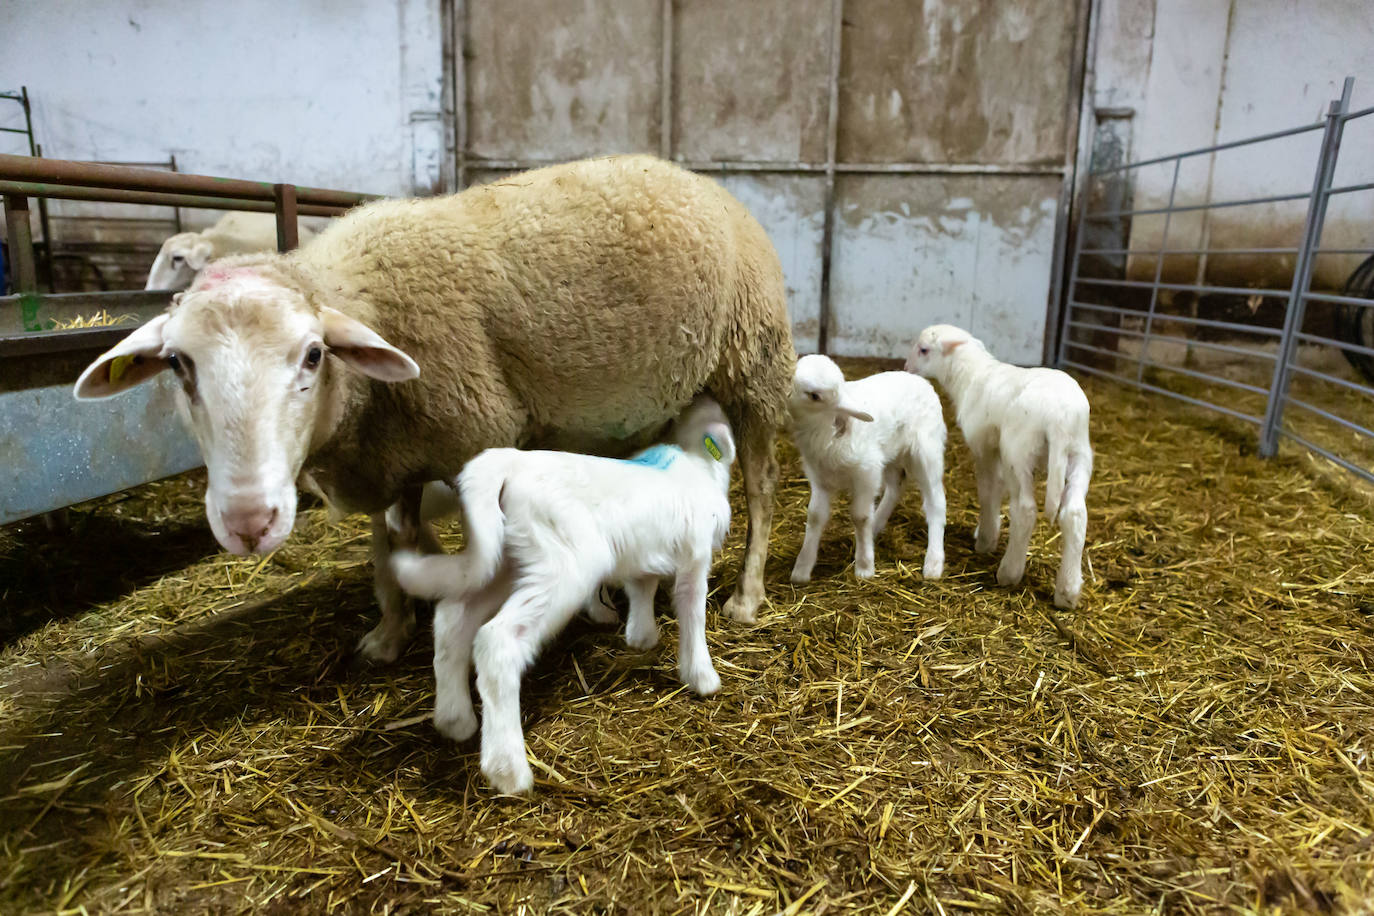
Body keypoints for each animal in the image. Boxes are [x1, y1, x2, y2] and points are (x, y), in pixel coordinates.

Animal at [75, 155, 796, 659]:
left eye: (313, 355)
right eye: (177, 364)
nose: (249, 522)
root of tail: (707, 183)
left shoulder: (473, 435)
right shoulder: (387, 448)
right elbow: (385, 542)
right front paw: (390, 631)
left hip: (755, 365)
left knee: (762, 487)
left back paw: (746, 595)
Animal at [390, 398, 730, 796]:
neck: (694, 463)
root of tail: (506, 462)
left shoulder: (644, 553)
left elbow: (641, 588)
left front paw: (641, 637)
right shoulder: (696, 553)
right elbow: (692, 609)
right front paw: (702, 677)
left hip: (506, 558)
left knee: (452, 617)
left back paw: (454, 718)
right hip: (562, 561)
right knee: (496, 640)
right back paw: (508, 769)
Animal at [791, 354, 950, 585]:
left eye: (814, 395)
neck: (824, 429)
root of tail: (920, 380)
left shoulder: (866, 472)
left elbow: (860, 517)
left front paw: (865, 567)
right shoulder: (820, 477)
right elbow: (815, 516)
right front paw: (802, 568)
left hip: (927, 450)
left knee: (935, 502)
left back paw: (933, 562)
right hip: (890, 453)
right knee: (896, 486)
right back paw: (877, 525)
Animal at [906, 322, 1088, 609]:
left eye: (923, 349)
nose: (906, 367)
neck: (969, 377)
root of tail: (1060, 417)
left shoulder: (985, 448)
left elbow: (987, 490)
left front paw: (985, 539)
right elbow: (998, 488)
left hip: (1019, 450)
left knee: (1025, 510)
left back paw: (1009, 572)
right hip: (1079, 453)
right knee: (1075, 514)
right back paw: (1067, 592)